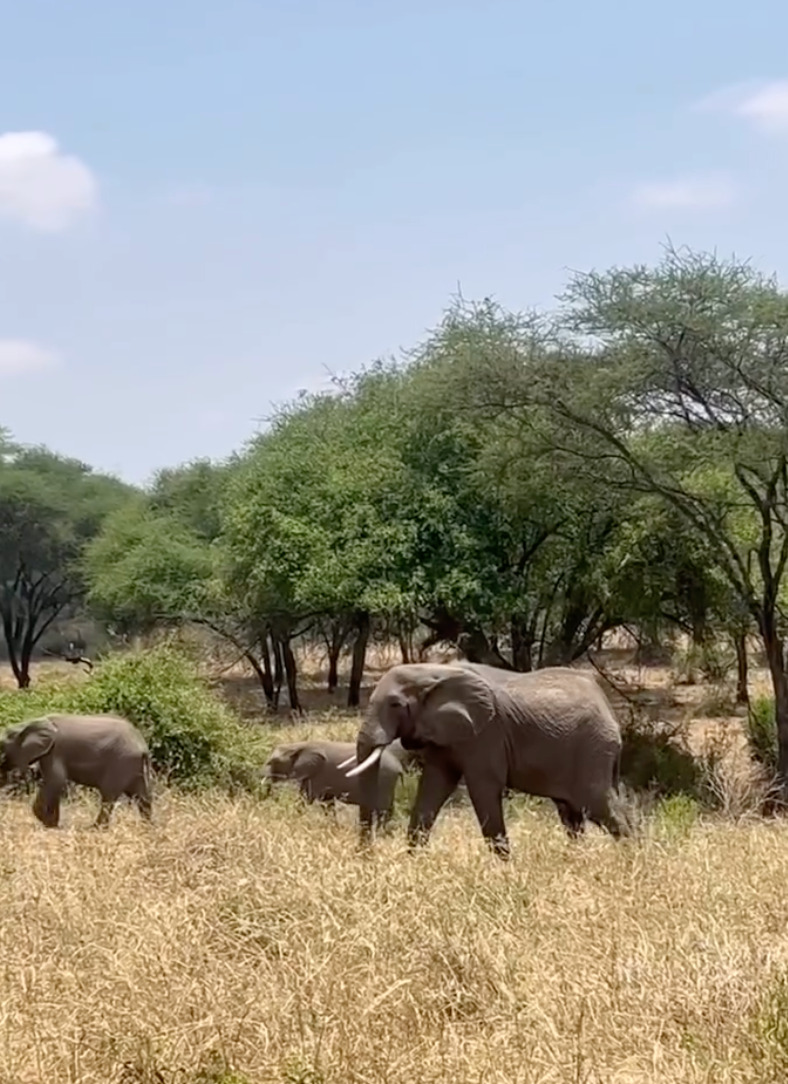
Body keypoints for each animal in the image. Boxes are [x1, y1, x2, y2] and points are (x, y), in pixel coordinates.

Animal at [0, 713, 153, 828]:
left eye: (1, 746)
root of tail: (142, 746)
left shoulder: (55, 751)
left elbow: (56, 780)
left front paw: (48, 823)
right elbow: (55, 783)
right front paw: (52, 824)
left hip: (121, 762)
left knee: (108, 795)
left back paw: (94, 828)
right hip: (133, 766)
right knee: (142, 795)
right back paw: (147, 827)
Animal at [262, 738, 413, 827]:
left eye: (272, 762)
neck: (299, 745)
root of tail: (398, 765)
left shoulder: (320, 775)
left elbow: (308, 798)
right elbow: (327, 802)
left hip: (383, 778)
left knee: (383, 809)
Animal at [345, 662, 628, 859]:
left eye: (394, 704)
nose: (366, 855)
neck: (432, 670)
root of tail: (609, 710)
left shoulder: (486, 733)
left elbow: (484, 789)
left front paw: (504, 869)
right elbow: (434, 786)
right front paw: (413, 861)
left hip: (593, 748)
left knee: (599, 805)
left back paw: (630, 859)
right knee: (572, 814)